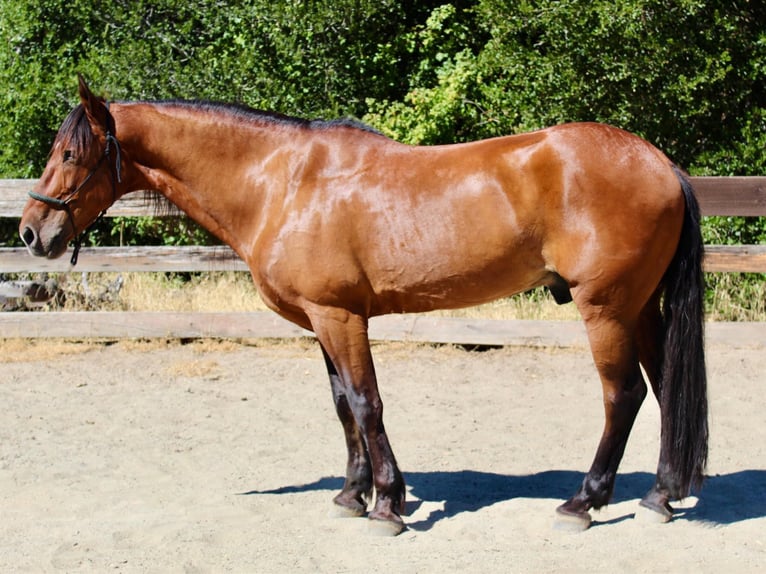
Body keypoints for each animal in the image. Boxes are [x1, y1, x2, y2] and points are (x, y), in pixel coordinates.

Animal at [20, 77, 708, 535]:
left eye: (71, 154)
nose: (31, 233)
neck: (282, 181)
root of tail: (660, 163)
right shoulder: (322, 320)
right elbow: (343, 406)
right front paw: (351, 495)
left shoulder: (341, 317)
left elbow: (366, 402)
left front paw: (387, 503)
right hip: (640, 307)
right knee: (664, 387)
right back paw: (661, 496)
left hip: (606, 308)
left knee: (623, 395)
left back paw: (583, 503)